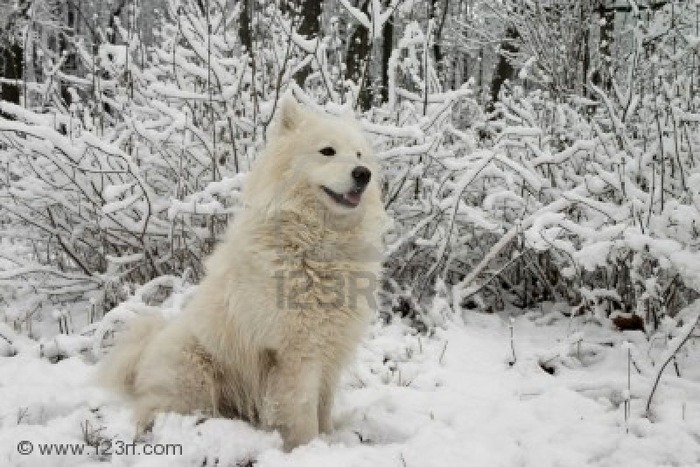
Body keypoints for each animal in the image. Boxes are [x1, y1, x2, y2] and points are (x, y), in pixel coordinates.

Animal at [100, 94, 388, 450]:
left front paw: (329, 440)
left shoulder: (330, 351)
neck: (315, 247)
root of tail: (142, 356)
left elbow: (323, 408)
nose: (363, 174)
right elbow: (303, 414)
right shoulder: (296, 356)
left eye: (359, 154)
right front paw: (308, 449)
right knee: (151, 412)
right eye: (327, 151)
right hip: (194, 378)